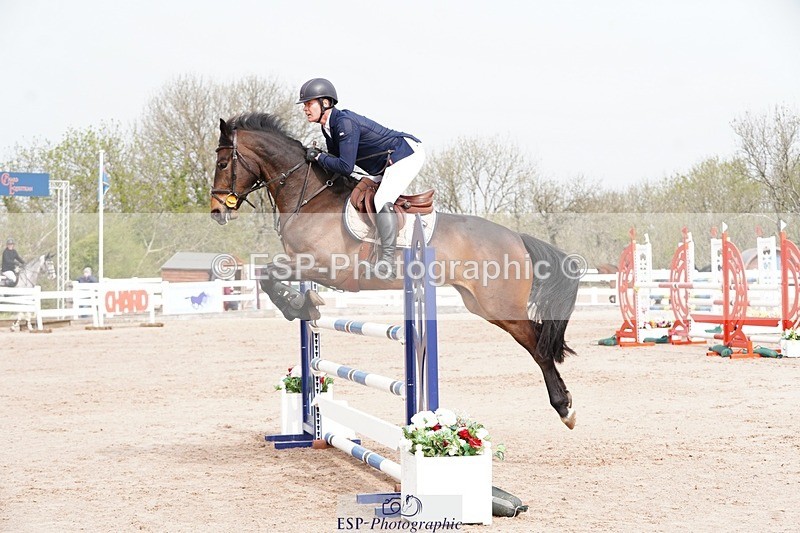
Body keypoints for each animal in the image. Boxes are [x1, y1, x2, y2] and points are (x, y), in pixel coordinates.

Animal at [210, 113, 580, 429]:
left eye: (223, 163)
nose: (216, 211)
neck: (309, 197)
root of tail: (516, 237)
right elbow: (268, 276)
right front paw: (304, 306)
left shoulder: (324, 266)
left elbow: (268, 274)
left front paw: (299, 306)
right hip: (481, 305)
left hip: (500, 306)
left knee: (539, 347)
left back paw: (565, 408)